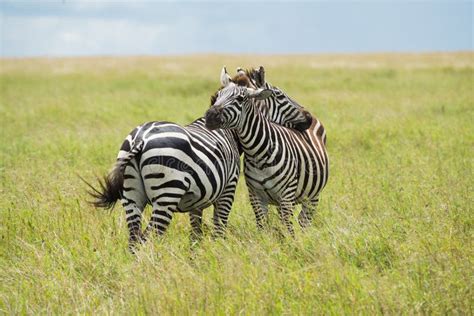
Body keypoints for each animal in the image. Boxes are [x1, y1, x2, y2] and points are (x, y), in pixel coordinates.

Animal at [87, 67, 312, 252]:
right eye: (280, 95)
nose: (309, 118)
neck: (230, 134)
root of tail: (141, 138)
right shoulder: (228, 189)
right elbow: (219, 229)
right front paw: (218, 255)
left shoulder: (196, 201)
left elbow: (196, 235)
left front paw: (196, 259)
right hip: (167, 194)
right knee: (148, 238)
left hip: (131, 196)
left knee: (134, 241)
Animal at [206, 66, 328, 235]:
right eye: (280, 95)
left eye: (240, 99)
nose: (309, 117)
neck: (258, 153)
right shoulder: (256, 196)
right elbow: (262, 226)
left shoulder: (286, 195)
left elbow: (288, 228)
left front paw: (290, 242)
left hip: (313, 195)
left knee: (304, 222)